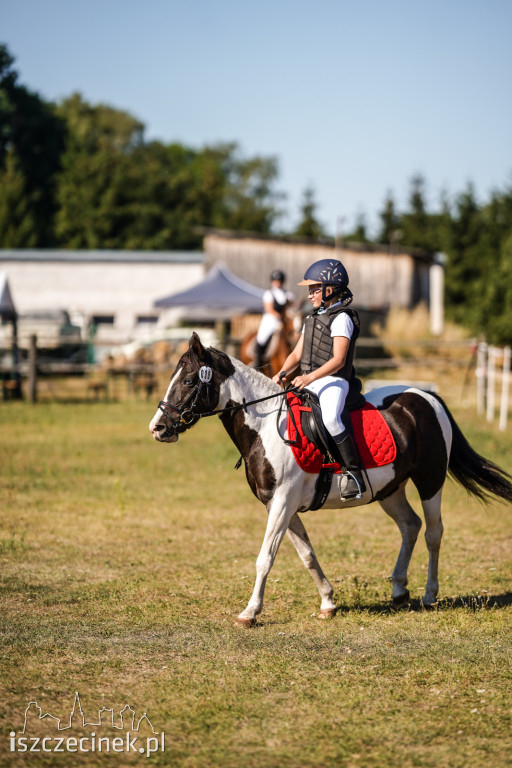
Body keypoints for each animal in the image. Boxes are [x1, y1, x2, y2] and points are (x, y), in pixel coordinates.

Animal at [149, 332, 512, 628]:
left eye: (189, 381)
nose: (158, 428)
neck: (265, 428)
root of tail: (427, 397)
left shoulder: (282, 504)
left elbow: (265, 558)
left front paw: (250, 612)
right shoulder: (280, 506)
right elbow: (307, 554)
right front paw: (328, 602)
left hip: (430, 481)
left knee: (434, 533)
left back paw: (429, 595)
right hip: (390, 489)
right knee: (410, 526)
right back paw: (398, 590)